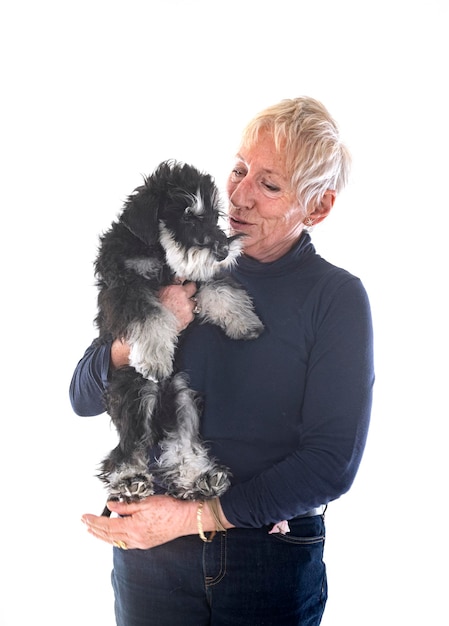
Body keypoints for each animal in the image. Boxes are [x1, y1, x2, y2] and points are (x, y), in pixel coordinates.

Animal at [94, 158, 262, 510]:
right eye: (186, 215)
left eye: (214, 214)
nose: (223, 250)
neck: (156, 251)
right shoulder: (125, 286)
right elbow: (152, 315)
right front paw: (155, 359)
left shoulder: (194, 279)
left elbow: (219, 288)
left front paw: (245, 321)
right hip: (136, 394)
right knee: (127, 448)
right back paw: (130, 481)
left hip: (182, 397)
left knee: (183, 444)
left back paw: (201, 479)